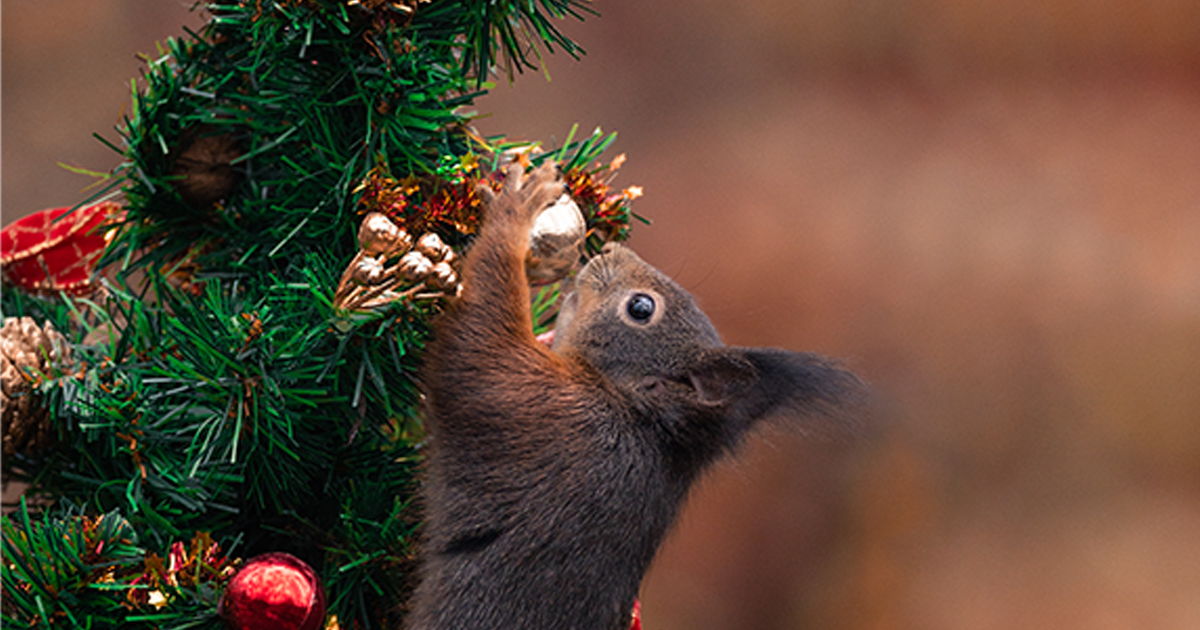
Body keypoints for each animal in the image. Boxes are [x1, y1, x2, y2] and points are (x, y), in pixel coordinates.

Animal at [408, 160, 868, 628]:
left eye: (641, 308)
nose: (611, 249)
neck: (634, 411)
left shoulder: (538, 407)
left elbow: (478, 335)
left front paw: (516, 211)